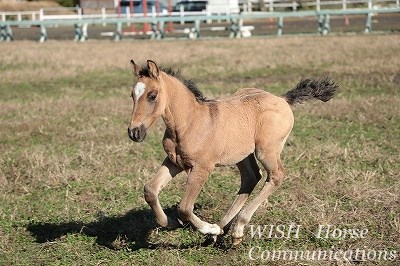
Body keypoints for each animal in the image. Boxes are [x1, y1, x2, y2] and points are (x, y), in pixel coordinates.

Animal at [127, 59, 338, 245]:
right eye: (132, 95)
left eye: (152, 95)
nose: (134, 132)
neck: (190, 122)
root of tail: (283, 99)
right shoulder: (174, 162)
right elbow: (150, 190)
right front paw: (171, 223)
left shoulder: (202, 168)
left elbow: (184, 208)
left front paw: (208, 228)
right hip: (243, 154)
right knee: (251, 178)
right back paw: (221, 231)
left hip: (266, 151)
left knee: (275, 176)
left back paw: (235, 229)